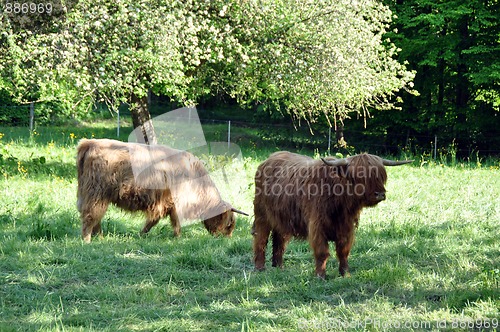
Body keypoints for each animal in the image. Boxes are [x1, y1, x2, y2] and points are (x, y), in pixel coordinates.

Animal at [77, 139, 247, 243]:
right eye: (229, 223)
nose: (226, 239)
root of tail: (90, 143)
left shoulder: (164, 204)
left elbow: (153, 221)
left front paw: (141, 234)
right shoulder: (176, 204)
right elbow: (176, 222)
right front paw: (178, 238)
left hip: (91, 195)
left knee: (95, 217)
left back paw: (100, 238)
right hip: (96, 194)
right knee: (90, 216)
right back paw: (87, 240)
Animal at [252, 152, 412, 278]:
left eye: (381, 175)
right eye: (360, 176)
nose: (380, 194)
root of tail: (268, 160)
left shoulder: (346, 227)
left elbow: (343, 251)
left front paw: (345, 274)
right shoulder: (317, 226)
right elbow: (322, 252)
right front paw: (320, 275)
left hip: (282, 218)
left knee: (279, 240)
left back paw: (278, 266)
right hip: (262, 214)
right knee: (261, 239)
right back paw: (260, 267)